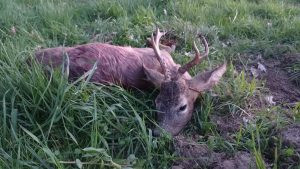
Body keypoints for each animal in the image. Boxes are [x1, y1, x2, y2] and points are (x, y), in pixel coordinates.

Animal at [35, 27, 226, 136]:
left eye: (182, 107)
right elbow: (164, 47)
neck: (170, 67)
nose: (158, 133)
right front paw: (160, 41)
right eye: (156, 103)